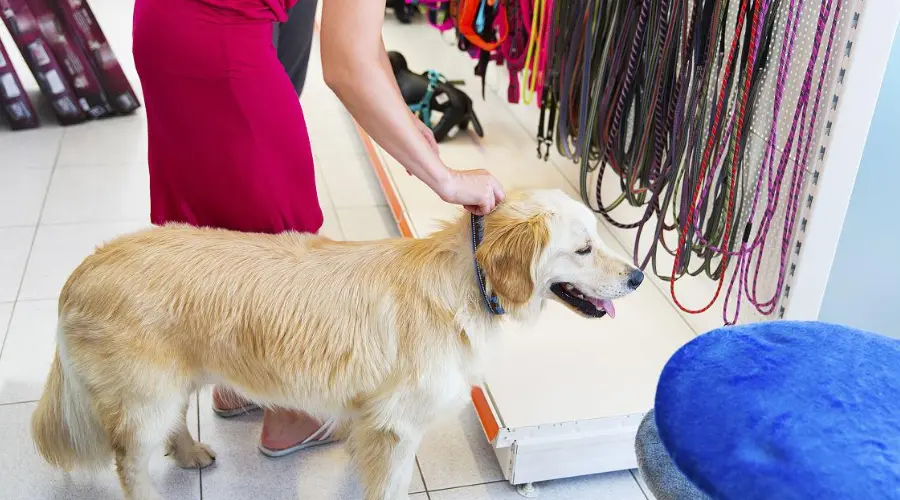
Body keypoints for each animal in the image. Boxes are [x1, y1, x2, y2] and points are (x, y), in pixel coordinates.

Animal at [31, 188, 644, 500]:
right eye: (584, 249)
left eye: (597, 238)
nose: (639, 277)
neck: (466, 281)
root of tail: (81, 271)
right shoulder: (398, 426)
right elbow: (390, 487)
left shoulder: (376, 422)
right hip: (143, 397)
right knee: (130, 463)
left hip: (171, 382)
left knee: (174, 422)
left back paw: (190, 451)